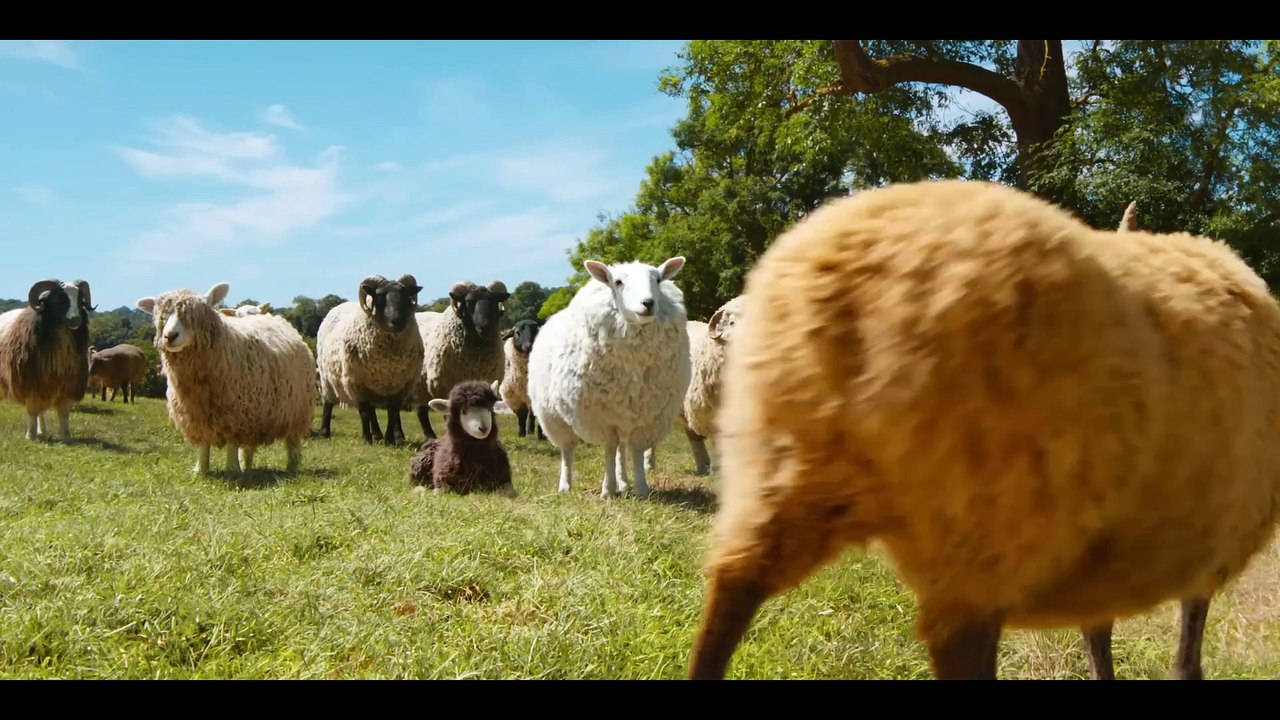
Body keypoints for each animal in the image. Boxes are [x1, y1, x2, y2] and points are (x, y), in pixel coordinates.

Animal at [0, 279, 94, 440]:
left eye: (80, 300)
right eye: (58, 299)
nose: (76, 319)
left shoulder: (67, 384)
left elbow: (63, 413)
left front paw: (66, 437)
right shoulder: (30, 383)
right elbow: (32, 411)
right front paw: (30, 436)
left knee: (42, 411)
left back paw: (43, 431)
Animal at [136, 281, 317, 475]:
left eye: (196, 315)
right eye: (162, 317)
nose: (169, 336)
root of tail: (276, 319)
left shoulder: (235, 412)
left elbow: (232, 443)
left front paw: (232, 469)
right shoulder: (196, 413)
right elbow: (203, 443)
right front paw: (200, 470)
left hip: (296, 410)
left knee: (293, 441)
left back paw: (292, 466)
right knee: (249, 446)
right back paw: (246, 464)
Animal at [315, 274, 424, 445]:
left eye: (406, 295)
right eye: (378, 296)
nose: (397, 320)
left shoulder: (399, 386)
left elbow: (392, 413)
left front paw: (389, 440)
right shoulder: (356, 382)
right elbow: (364, 412)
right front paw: (366, 439)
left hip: (373, 385)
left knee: (374, 410)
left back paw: (378, 435)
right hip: (327, 378)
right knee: (328, 403)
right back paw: (325, 432)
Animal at [527, 256, 691, 500]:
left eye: (658, 279)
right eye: (618, 282)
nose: (648, 303)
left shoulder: (646, 416)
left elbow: (635, 450)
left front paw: (640, 489)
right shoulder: (601, 417)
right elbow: (609, 449)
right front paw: (607, 490)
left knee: (622, 449)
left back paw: (624, 482)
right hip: (552, 416)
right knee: (567, 449)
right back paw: (566, 485)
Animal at [688, 179, 1280, 681]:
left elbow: (1103, 632)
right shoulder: (1204, 542)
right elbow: (1180, 654)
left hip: (783, 466)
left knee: (733, 587)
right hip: (991, 506)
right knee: (961, 644)